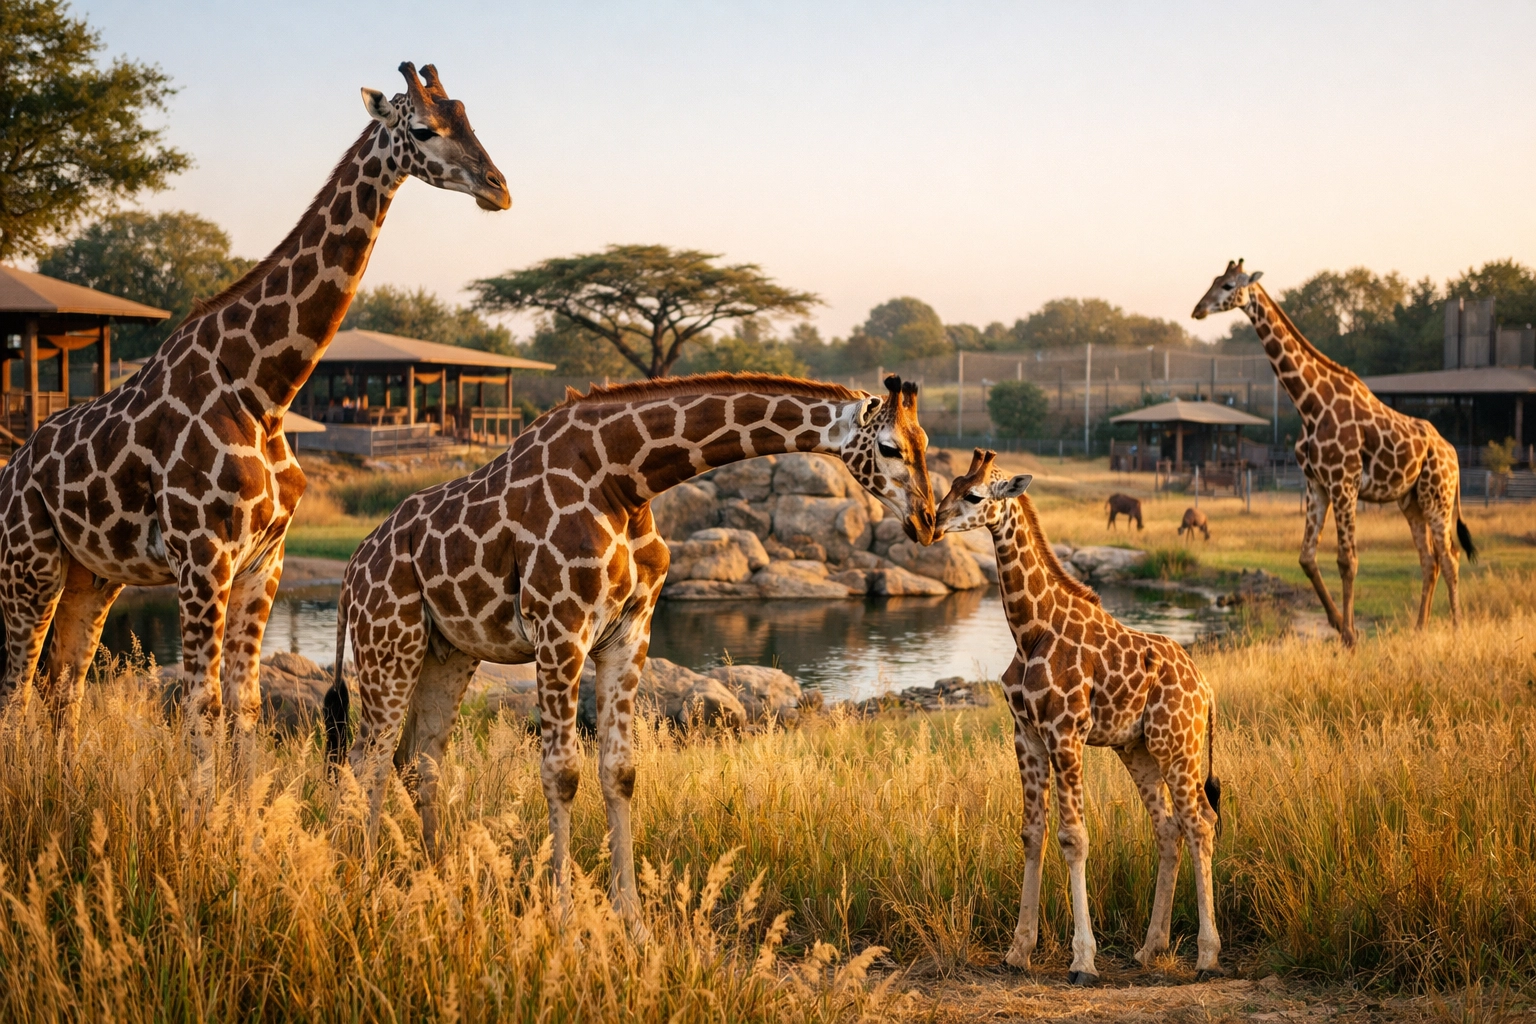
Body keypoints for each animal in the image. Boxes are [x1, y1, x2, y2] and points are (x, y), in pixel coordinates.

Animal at [0, 63, 510, 759]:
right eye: (425, 129)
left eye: (467, 115)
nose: (498, 188)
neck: (265, 391)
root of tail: (10, 471)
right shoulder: (202, 556)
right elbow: (202, 707)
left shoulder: (264, 560)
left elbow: (245, 708)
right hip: (28, 564)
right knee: (15, 691)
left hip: (92, 575)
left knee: (63, 687)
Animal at [322, 372, 936, 925]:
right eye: (889, 447)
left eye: (926, 443)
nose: (927, 522)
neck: (626, 481)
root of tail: (350, 571)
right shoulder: (560, 627)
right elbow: (562, 773)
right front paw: (566, 918)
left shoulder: (630, 633)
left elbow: (620, 771)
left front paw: (633, 920)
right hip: (388, 642)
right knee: (367, 759)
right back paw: (365, 882)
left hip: (447, 653)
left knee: (416, 760)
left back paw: (440, 886)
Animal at [936, 449, 1222, 985]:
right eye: (950, 486)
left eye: (975, 495)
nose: (934, 520)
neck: (1030, 629)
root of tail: (1206, 690)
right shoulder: (1026, 735)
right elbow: (1033, 834)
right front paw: (1017, 952)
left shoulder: (1065, 734)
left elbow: (1074, 838)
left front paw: (1083, 961)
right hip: (1138, 750)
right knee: (1169, 828)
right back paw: (1149, 949)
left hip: (1178, 745)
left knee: (1201, 823)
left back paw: (1207, 956)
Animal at [1193, 260, 1475, 645]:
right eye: (1214, 280)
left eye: (1228, 285)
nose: (1198, 310)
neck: (1309, 403)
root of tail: (1454, 454)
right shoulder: (1316, 485)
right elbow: (1307, 558)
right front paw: (1341, 625)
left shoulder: (1344, 484)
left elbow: (1347, 561)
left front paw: (1350, 636)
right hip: (1411, 501)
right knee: (1429, 560)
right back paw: (1419, 629)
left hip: (1439, 499)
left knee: (1450, 557)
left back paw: (1458, 629)